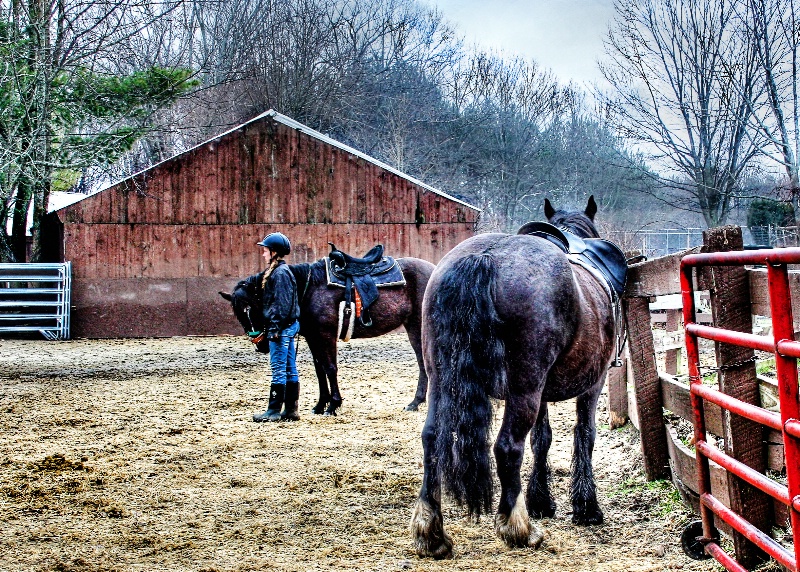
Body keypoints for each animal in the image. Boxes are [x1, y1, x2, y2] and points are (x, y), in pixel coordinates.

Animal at [219, 252, 434, 414]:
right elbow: (320, 370)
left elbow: (330, 368)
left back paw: (415, 402)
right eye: (238, 314)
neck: (309, 288)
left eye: (255, 307)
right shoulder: (313, 338)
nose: (262, 344)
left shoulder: (326, 336)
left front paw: (333, 405)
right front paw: (320, 404)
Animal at [412, 198, 620, 560]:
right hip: (525, 388)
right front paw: (586, 506)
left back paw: (430, 531)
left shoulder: (544, 392)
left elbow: (543, 438)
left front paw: (541, 500)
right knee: (508, 446)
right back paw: (518, 527)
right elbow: (584, 435)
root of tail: (484, 257)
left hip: (441, 381)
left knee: (432, 438)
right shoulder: (592, 384)